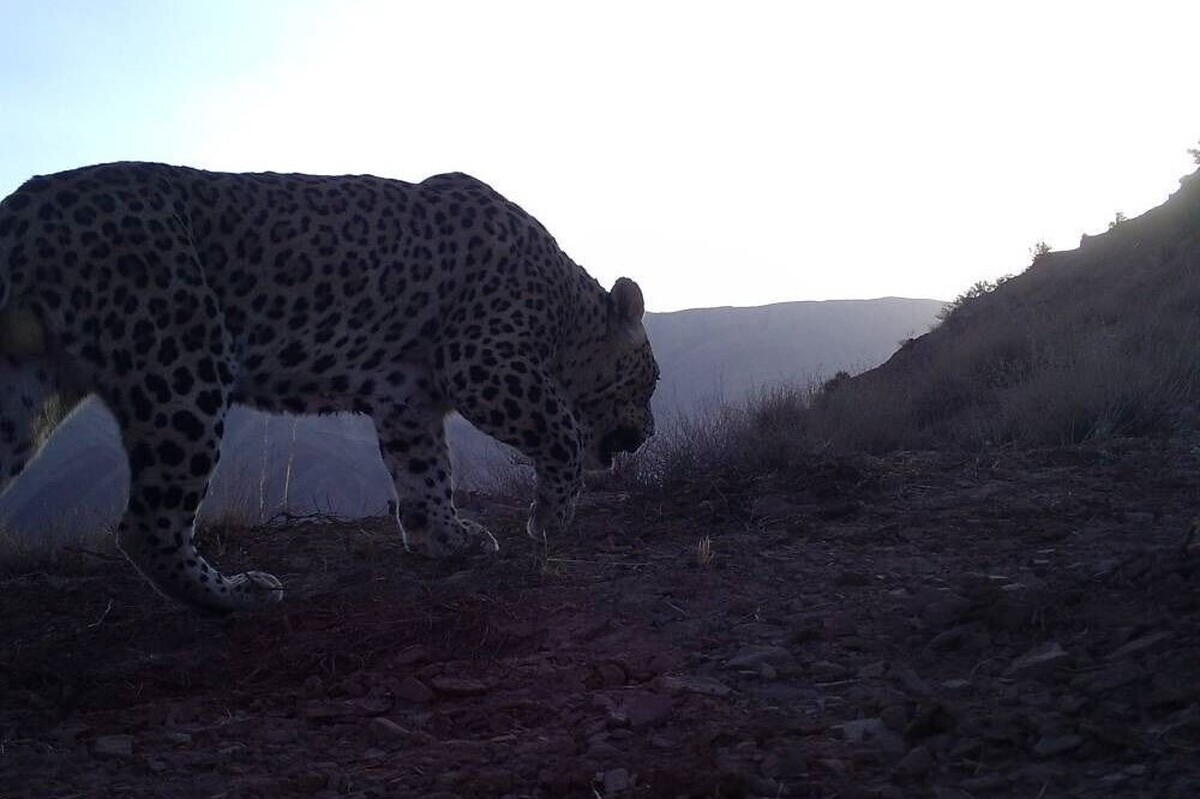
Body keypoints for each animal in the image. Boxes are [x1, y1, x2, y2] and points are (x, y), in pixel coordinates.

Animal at [0, 160, 657, 609]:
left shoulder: (408, 396)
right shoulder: (482, 362)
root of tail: (28, 201)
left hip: (28, 389)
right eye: (650, 384)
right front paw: (548, 520)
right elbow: (564, 431)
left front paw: (445, 538)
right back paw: (237, 594)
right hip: (180, 366)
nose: (650, 432)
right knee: (146, 526)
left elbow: (425, 473)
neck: (565, 307)